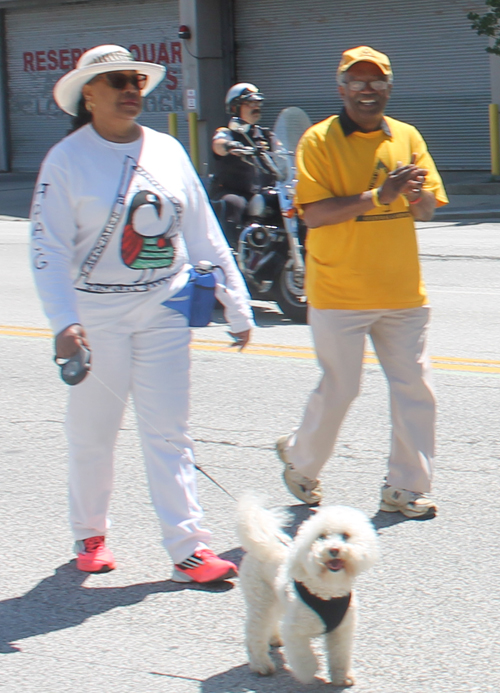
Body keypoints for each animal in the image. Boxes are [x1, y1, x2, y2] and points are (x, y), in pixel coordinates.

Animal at [236, 498, 376, 688]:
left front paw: (342, 677)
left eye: (345, 536)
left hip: (276, 597)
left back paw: (273, 639)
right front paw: (308, 673)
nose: (334, 550)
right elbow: (304, 658)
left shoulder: (342, 630)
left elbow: (340, 654)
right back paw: (261, 665)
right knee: (255, 632)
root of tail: (264, 542)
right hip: (261, 598)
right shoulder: (295, 631)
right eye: (321, 537)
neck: (327, 592)